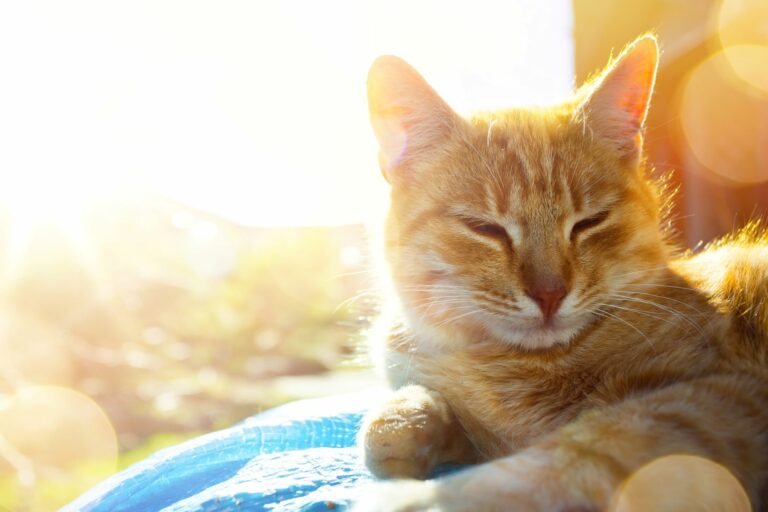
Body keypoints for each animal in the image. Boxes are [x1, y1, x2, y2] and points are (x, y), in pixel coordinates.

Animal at [352, 36, 768, 512]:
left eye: (590, 222)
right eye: (485, 228)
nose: (549, 293)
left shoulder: (716, 394)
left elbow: (568, 456)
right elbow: (404, 415)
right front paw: (405, 421)